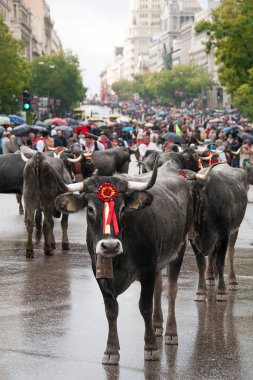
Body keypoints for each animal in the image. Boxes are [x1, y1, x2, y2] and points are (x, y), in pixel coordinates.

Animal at [191, 165, 248, 302]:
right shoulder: (192, 239)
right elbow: (201, 264)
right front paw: (201, 292)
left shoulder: (223, 235)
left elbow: (221, 262)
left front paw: (222, 291)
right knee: (212, 254)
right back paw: (210, 277)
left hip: (235, 230)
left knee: (231, 253)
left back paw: (232, 281)